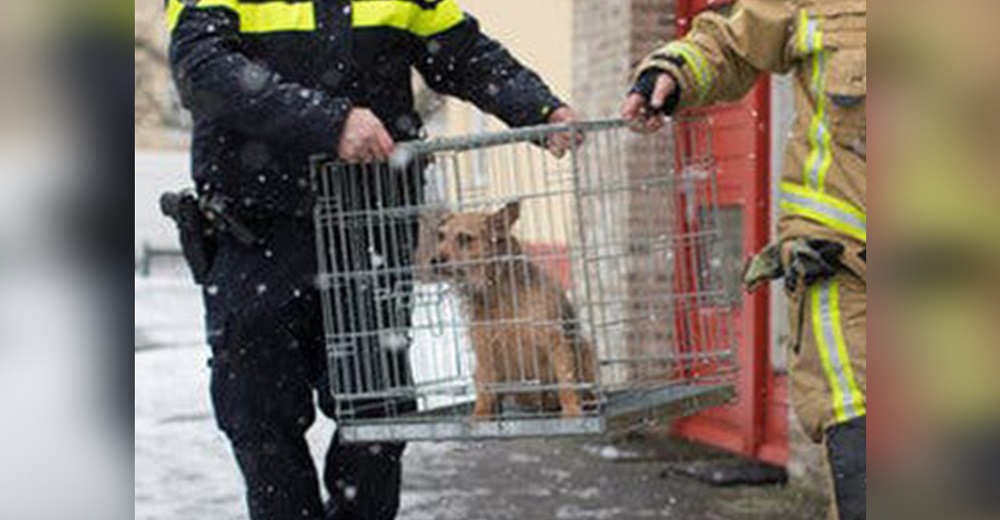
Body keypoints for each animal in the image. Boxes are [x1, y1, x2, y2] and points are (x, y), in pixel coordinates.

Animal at [428, 200, 592, 418]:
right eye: (441, 236)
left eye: (465, 238)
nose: (434, 261)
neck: (495, 289)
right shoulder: (484, 349)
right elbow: (485, 389)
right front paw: (480, 415)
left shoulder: (556, 342)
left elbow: (566, 382)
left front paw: (572, 410)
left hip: (585, 348)